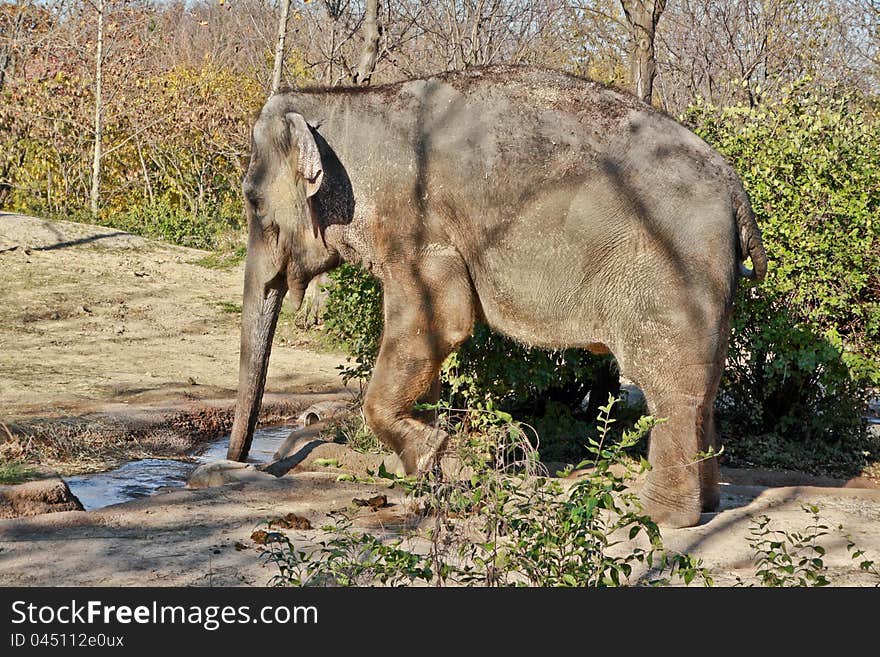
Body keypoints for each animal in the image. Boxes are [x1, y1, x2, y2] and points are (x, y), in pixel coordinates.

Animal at [230, 65, 768, 528]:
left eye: (252, 201)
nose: (243, 464)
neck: (343, 102)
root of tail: (736, 190)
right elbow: (429, 341)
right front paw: (429, 477)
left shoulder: (419, 230)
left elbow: (442, 321)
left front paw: (438, 448)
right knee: (704, 389)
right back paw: (707, 505)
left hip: (673, 275)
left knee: (670, 388)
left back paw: (661, 516)